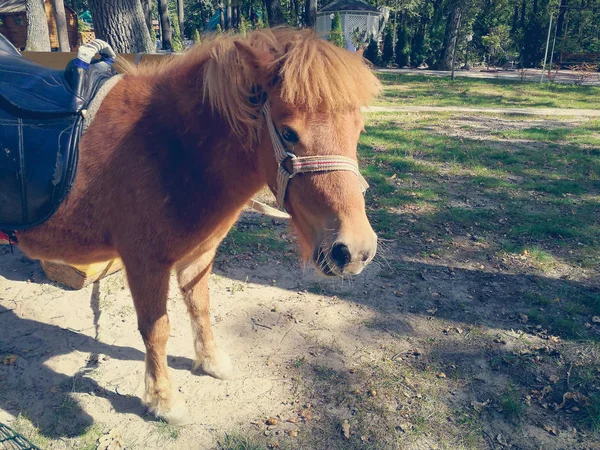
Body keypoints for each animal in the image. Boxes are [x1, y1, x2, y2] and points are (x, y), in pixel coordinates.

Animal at [16, 29, 382, 426]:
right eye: (288, 133)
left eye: (359, 130)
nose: (355, 250)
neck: (166, 148)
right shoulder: (144, 262)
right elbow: (156, 329)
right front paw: (162, 400)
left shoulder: (199, 254)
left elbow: (200, 307)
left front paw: (211, 361)